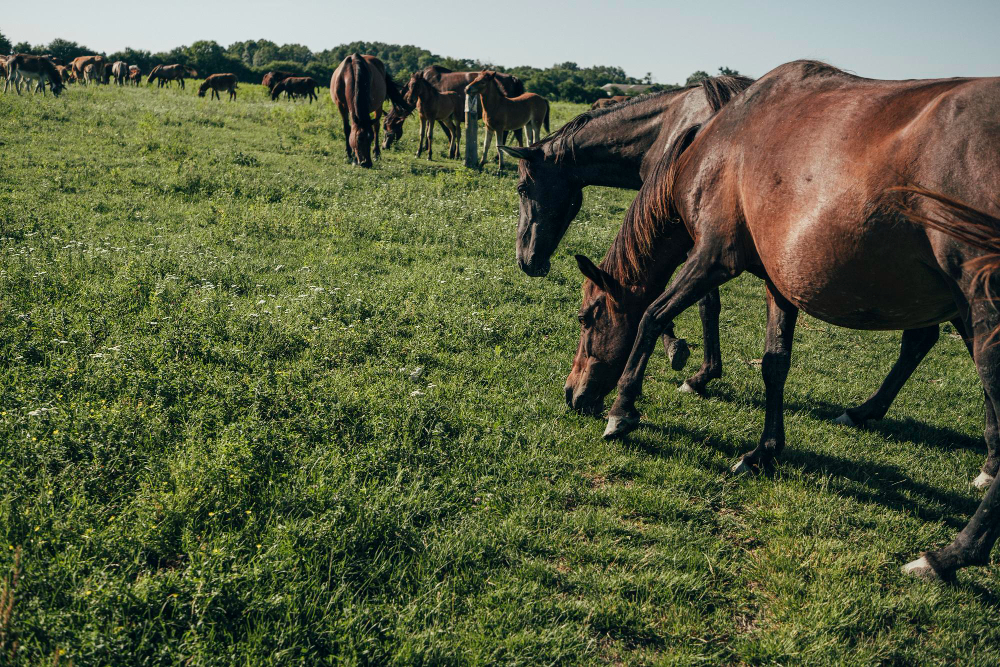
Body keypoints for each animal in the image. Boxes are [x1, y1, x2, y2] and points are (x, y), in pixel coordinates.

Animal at [564, 61, 1000, 584]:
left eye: (588, 317)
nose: (571, 394)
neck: (716, 145)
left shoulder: (712, 257)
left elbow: (652, 317)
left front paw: (623, 411)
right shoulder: (778, 282)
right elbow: (775, 364)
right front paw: (763, 453)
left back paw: (949, 555)